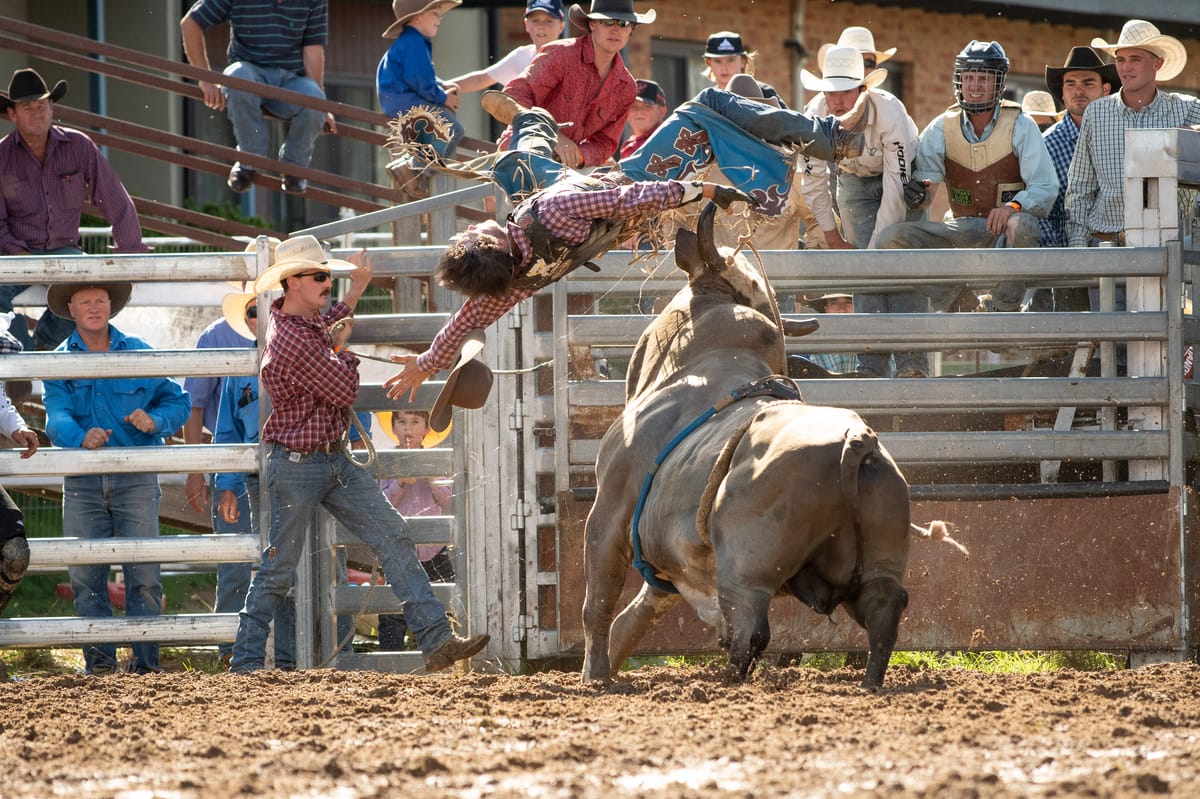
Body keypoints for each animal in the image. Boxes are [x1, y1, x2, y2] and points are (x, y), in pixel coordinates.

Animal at [581, 202, 954, 690]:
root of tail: (856, 441)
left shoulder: (610, 507)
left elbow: (599, 602)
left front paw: (595, 677)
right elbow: (637, 613)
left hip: (748, 569)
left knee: (750, 629)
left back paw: (727, 681)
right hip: (881, 552)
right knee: (883, 609)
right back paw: (870, 681)